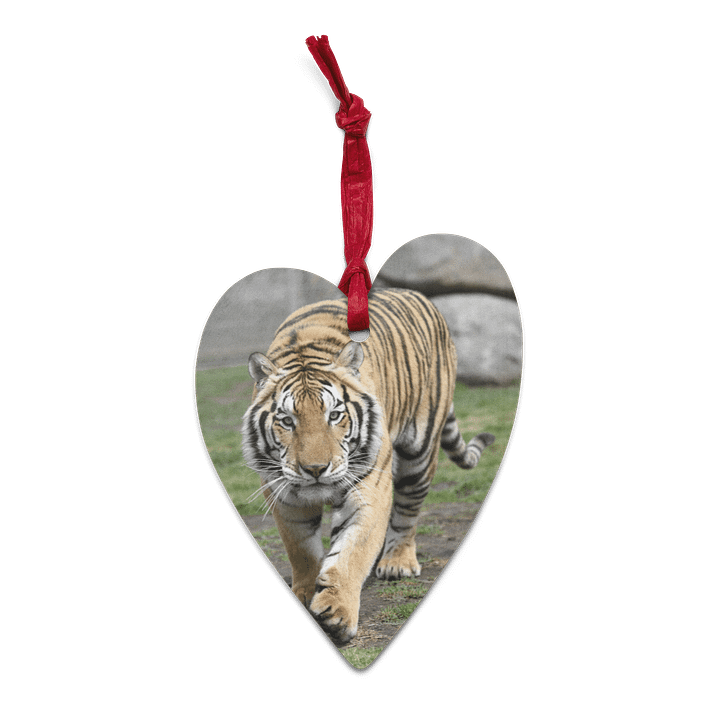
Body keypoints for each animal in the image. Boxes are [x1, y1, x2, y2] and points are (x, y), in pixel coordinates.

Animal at [241, 287, 495, 646]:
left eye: (335, 415)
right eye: (287, 421)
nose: (315, 469)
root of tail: (418, 296)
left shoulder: (368, 488)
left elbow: (351, 553)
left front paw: (336, 613)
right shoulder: (284, 496)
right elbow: (300, 550)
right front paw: (306, 591)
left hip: (419, 452)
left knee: (406, 512)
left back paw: (396, 562)